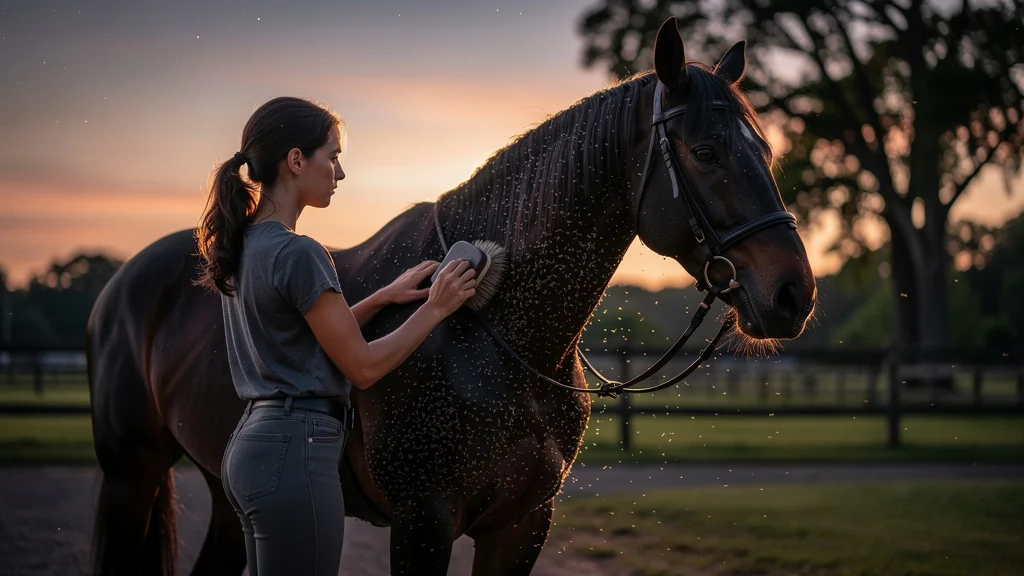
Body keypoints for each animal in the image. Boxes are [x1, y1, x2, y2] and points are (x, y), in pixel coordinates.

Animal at [87, 18, 815, 576]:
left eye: (766, 149)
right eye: (705, 151)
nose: (793, 294)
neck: (500, 332)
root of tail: (125, 286)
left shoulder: (521, 524)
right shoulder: (423, 521)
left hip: (223, 487)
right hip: (130, 476)